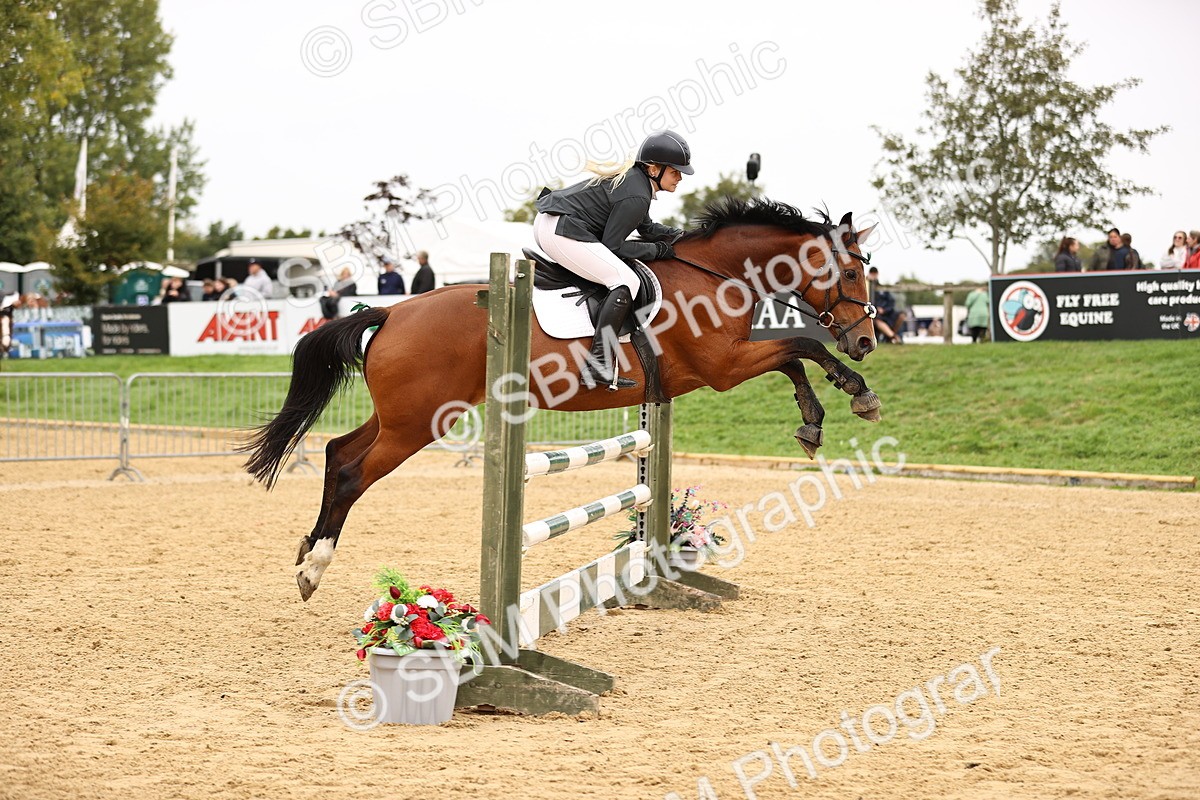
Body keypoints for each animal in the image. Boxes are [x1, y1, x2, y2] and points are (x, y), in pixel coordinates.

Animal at [242, 198, 882, 601]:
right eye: (853, 273)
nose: (867, 340)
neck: (714, 275)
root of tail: (392, 312)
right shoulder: (723, 368)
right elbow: (800, 345)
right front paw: (854, 397)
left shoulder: (721, 366)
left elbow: (795, 356)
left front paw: (818, 420)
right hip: (418, 424)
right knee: (353, 471)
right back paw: (314, 568)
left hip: (401, 417)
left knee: (336, 452)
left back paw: (307, 555)